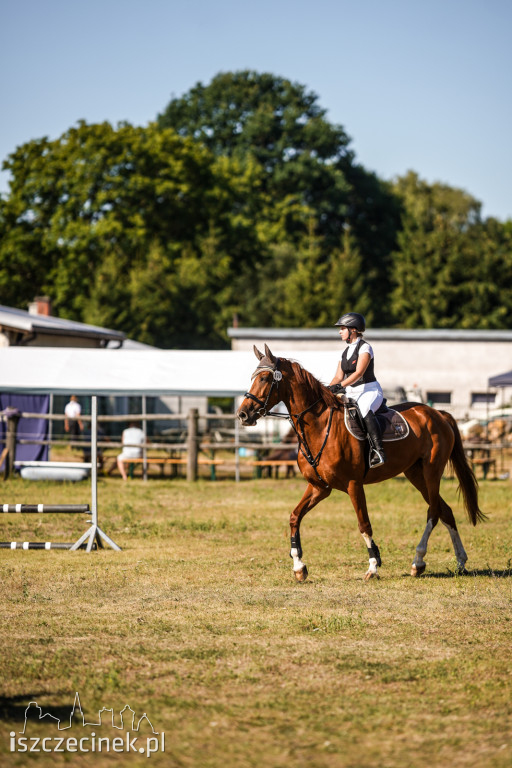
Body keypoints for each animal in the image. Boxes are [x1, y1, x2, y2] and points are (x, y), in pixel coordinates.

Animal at [236, 344, 484, 580]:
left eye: (264, 378)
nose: (243, 415)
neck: (319, 425)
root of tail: (438, 413)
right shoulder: (319, 487)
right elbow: (295, 517)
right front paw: (299, 566)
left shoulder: (353, 484)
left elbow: (364, 524)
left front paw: (373, 567)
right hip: (416, 474)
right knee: (445, 511)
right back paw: (460, 562)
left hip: (432, 471)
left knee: (433, 512)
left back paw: (418, 561)